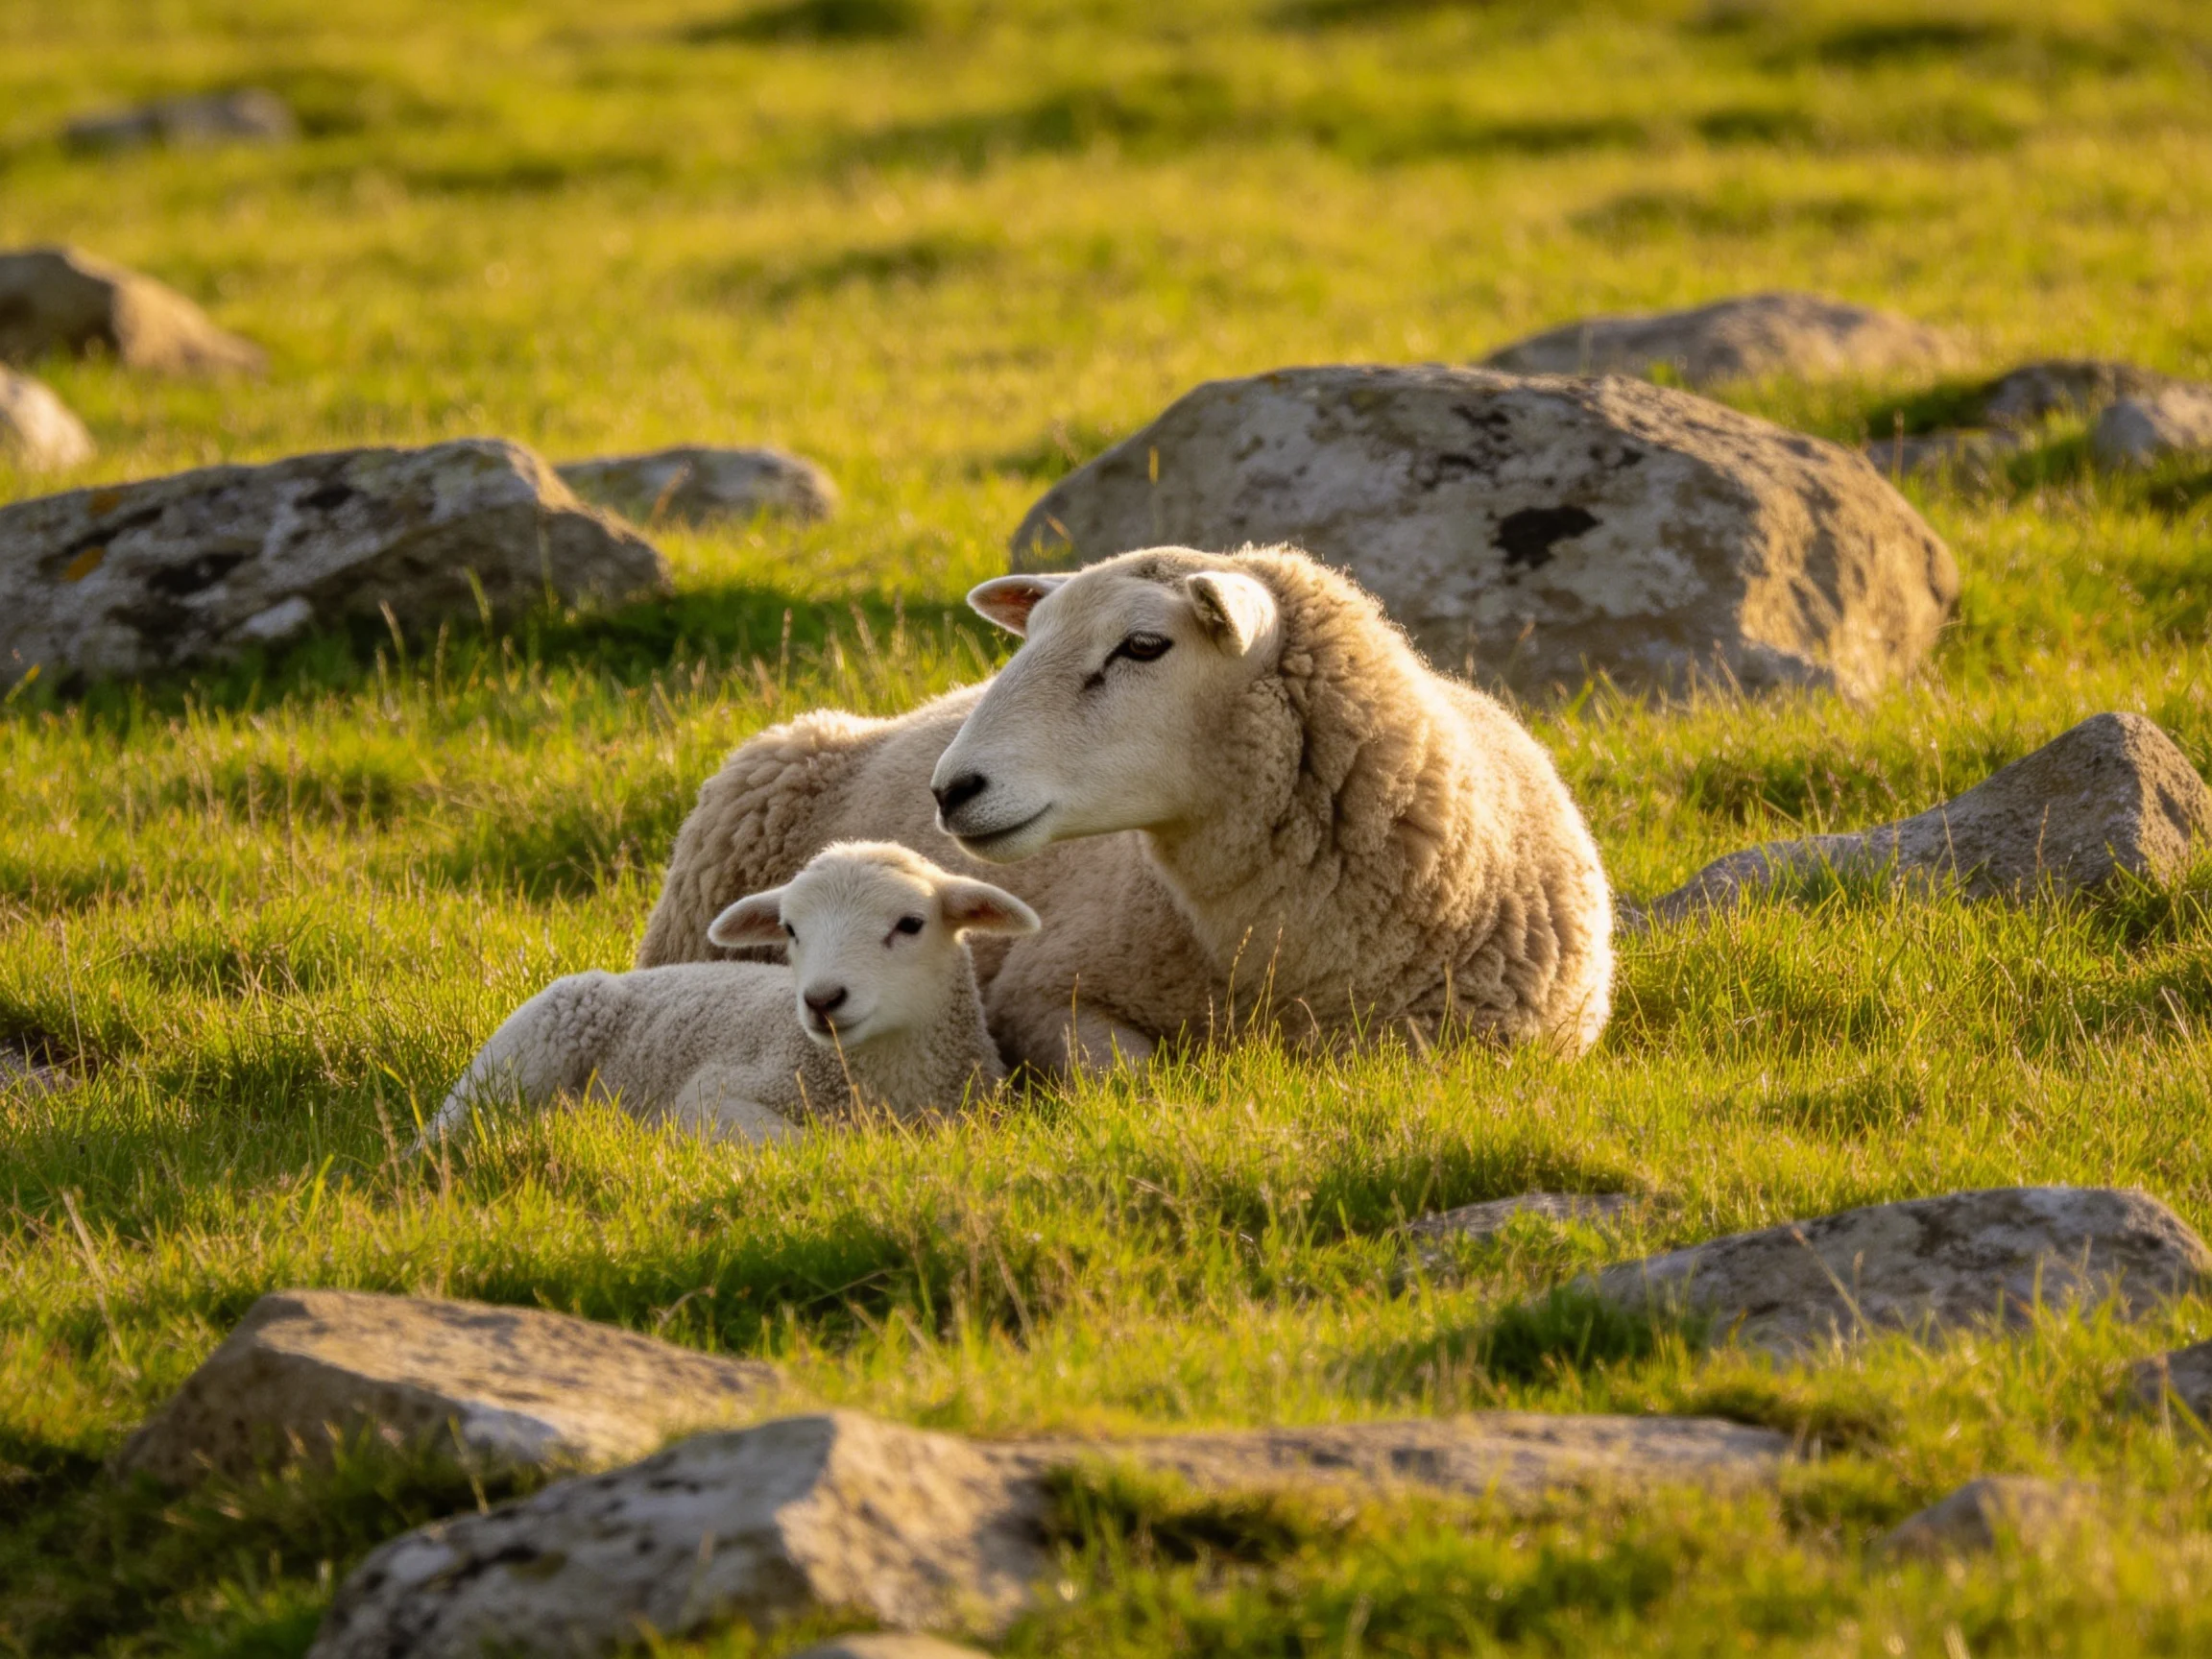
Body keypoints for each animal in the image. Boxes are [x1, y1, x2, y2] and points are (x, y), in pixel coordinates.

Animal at [421, 842, 1040, 1148]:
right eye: (790, 929)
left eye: (911, 924)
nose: (821, 1000)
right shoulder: (712, 1095)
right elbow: (804, 1145)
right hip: (514, 1062)